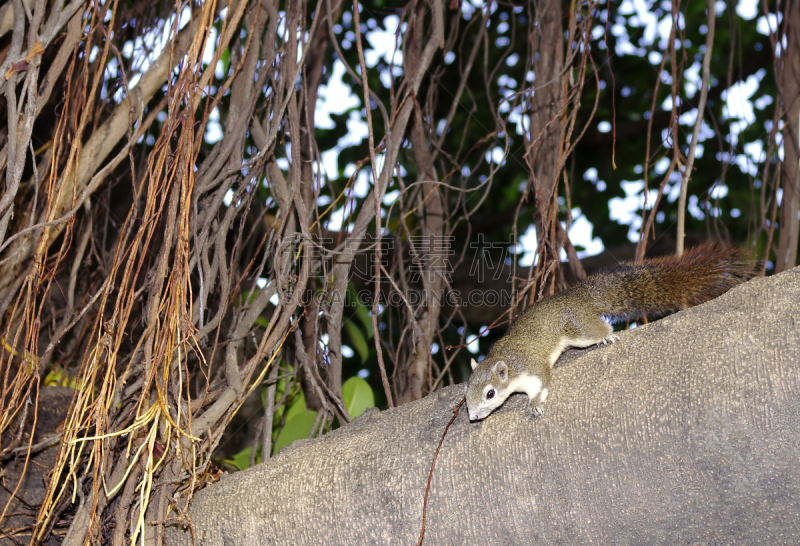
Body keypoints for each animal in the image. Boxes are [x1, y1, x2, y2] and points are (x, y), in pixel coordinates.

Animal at [466, 242, 752, 420]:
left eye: (490, 393)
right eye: (466, 392)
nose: (473, 416)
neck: (506, 361)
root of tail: (578, 295)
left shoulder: (532, 368)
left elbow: (543, 382)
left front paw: (535, 404)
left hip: (579, 328)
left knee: (596, 329)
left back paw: (607, 335)